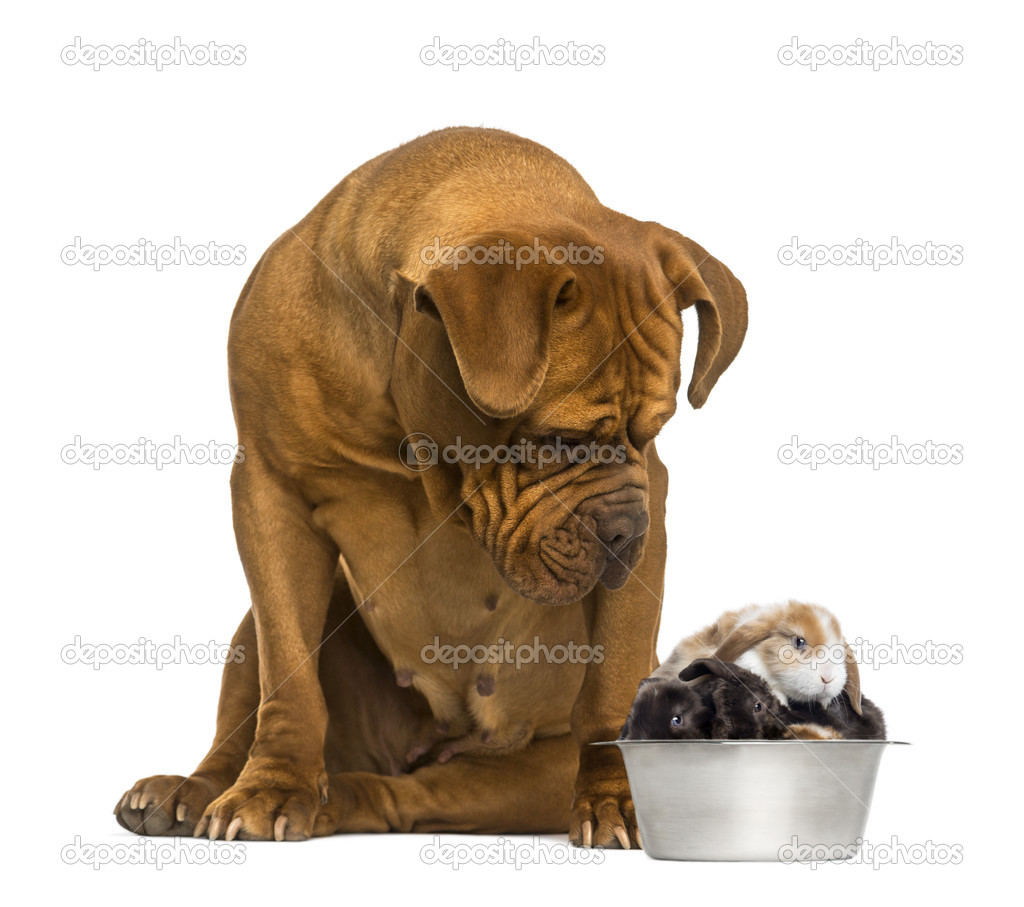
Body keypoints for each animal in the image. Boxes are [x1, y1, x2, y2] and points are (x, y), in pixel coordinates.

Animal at [116, 127, 749, 851]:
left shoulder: (654, 511)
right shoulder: (268, 493)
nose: (624, 533)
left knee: (406, 795)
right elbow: (288, 675)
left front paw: (618, 797)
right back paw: (192, 790)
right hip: (263, 619)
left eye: (654, 431)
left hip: (519, 773)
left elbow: (611, 685)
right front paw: (271, 787)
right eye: (557, 439)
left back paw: (335, 799)